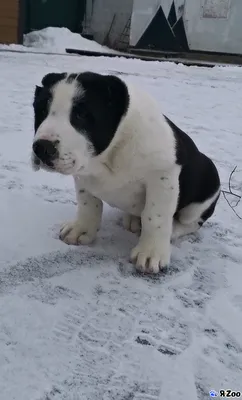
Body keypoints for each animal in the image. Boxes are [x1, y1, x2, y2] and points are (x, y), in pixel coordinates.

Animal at [31, 72, 220, 274]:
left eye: (81, 114)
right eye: (41, 111)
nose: (41, 147)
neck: (112, 151)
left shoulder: (162, 174)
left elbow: (155, 216)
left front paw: (151, 252)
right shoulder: (83, 174)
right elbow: (88, 204)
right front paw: (82, 229)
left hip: (205, 188)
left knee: (191, 222)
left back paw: (173, 229)